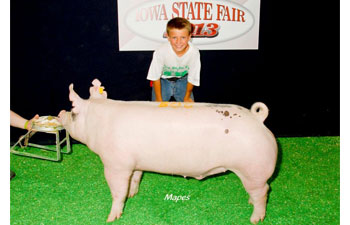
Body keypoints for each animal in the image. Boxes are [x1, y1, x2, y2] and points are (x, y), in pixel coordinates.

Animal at [56, 79, 276, 223]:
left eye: (73, 111)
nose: (60, 112)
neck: (99, 122)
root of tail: (258, 119)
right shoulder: (135, 163)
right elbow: (135, 178)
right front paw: (133, 195)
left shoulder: (115, 164)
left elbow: (117, 191)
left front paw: (111, 218)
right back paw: (249, 203)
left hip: (254, 168)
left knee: (263, 191)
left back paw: (255, 218)